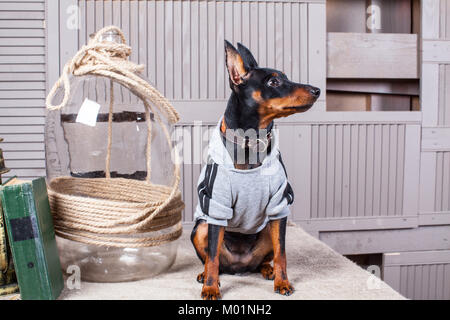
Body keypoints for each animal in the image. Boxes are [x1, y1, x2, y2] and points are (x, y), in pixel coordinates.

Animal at [190, 40, 320, 300]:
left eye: (286, 77)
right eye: (273, 82)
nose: (317, 90)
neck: (251, 143)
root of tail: (239, 267)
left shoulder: (279, 206)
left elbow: (282, 253)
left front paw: (283, 282)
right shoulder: (216, 206)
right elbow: (212, 256)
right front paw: (210, 287)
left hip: (268, 229)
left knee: (265, 259)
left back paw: (268, 270)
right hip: (200, 228)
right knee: (213, 259)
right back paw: (206, 276)